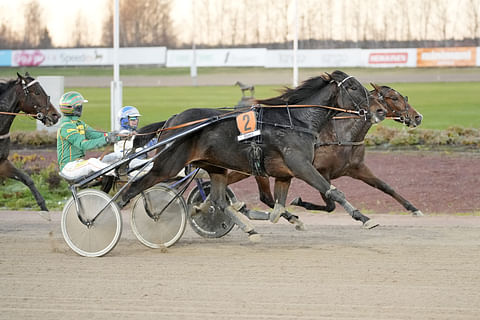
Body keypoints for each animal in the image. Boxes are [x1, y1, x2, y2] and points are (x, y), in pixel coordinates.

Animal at [122, 70, 388, 240]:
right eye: (353, 87)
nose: (380, 110)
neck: (295, 121)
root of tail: (173, 119)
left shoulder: (284, 173)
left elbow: (278, 208)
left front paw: (290, 218)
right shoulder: (301, 166)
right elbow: (334, 191)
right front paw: (364, 218)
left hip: (215, 166)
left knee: (218, 200)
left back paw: (245, 227)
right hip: (167, 166)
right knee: (134, 188)